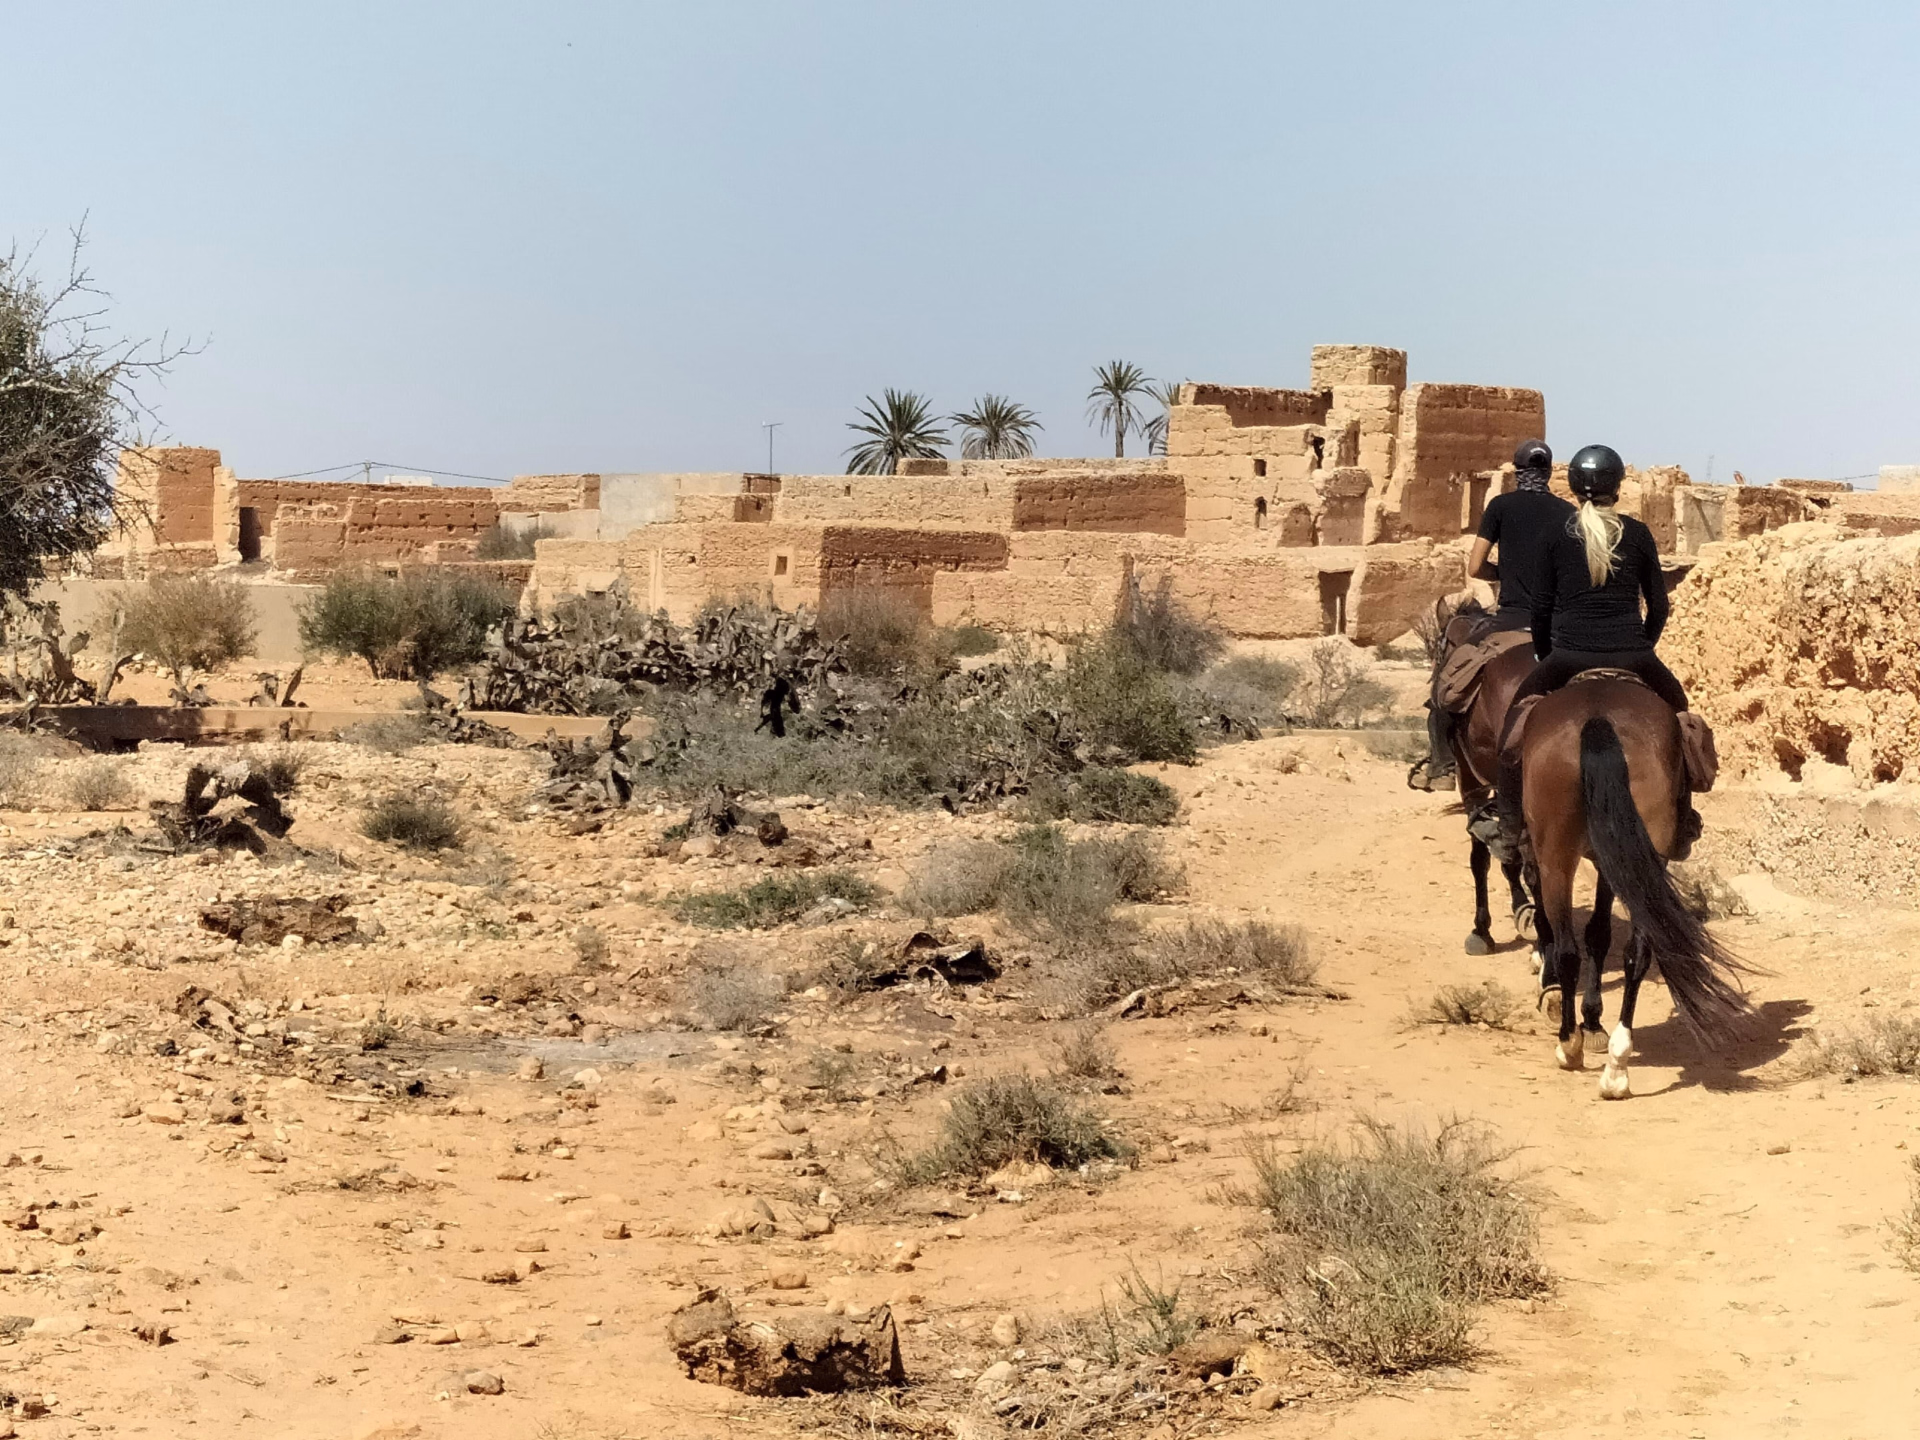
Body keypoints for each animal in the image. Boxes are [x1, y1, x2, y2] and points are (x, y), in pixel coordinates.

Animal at [1516, 677, 1751, 1099]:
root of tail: (1598, 718)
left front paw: (1578, 1020)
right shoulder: (1614, 860)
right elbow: (1599, 935)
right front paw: (1593, 1022)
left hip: (1556, 858)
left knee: (1568, 950)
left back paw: (1570, 1045)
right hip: (1645, 855)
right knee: (1638, 953)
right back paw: (1617, 1065)